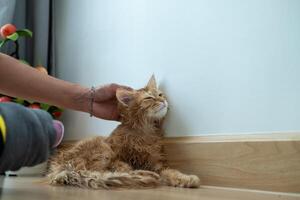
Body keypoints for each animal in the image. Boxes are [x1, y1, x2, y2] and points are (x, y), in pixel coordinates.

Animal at [48, 75, 200, 189]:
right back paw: (147, 175)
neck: (144, 132)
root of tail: (58, 169)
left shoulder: (157, 163)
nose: (163, 100)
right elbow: (123, 168)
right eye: (149, 98)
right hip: (102, 149)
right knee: (104, 173)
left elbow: (171, 172)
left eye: (160, 94)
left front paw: (184, 178)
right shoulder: (117, 157)